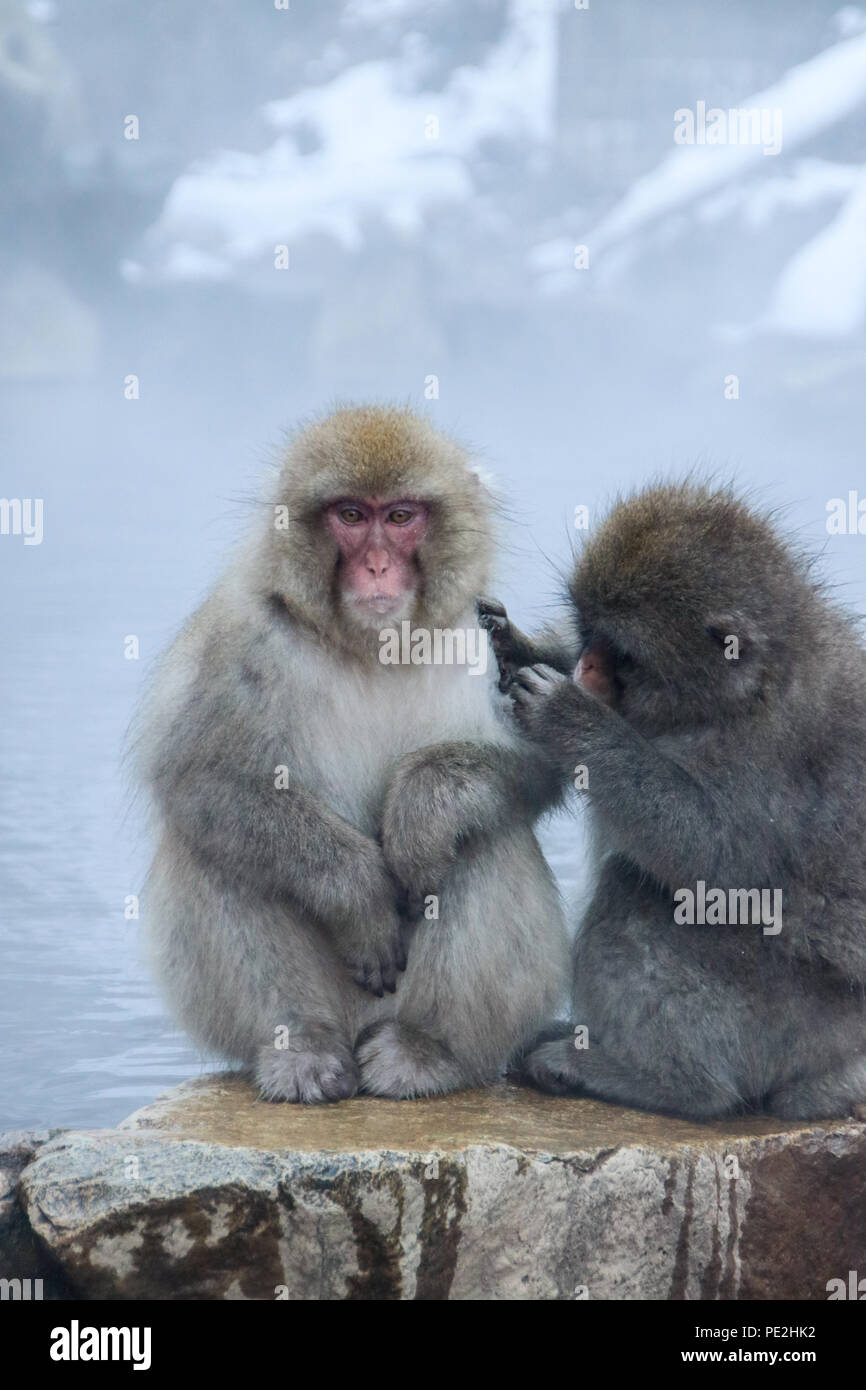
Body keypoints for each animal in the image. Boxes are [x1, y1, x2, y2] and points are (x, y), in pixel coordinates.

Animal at [135, 405, 569, 1100]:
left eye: (400, 517)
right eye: (350, 514)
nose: (376, 568)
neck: (372, 645)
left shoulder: (480, 637)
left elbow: (543, 764)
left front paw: (421, 810)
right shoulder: (238, 634)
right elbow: (204, 780)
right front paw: (360, 895)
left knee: (480, 836)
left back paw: (424, 1048)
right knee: (218, 848)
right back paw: (299, 1045)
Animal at [480, 483, 866, 1123]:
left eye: (622, 653)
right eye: (587, 631)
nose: (585, 667)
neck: (738, 696)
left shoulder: (768, 753)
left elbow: (719, 862)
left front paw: (572, 719)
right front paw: (519, 647)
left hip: (784, 1022)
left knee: (636, 893)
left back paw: (670, 1084)